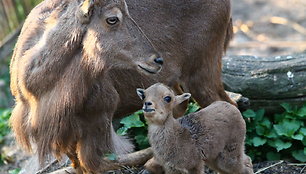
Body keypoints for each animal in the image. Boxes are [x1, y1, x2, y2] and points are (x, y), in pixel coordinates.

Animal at [9, 0, 234, 173]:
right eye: (112, 18)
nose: (157, 60)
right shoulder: (68, 134)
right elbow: (79, 165)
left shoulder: (98, 117)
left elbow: (97, 164)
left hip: (202, 72)